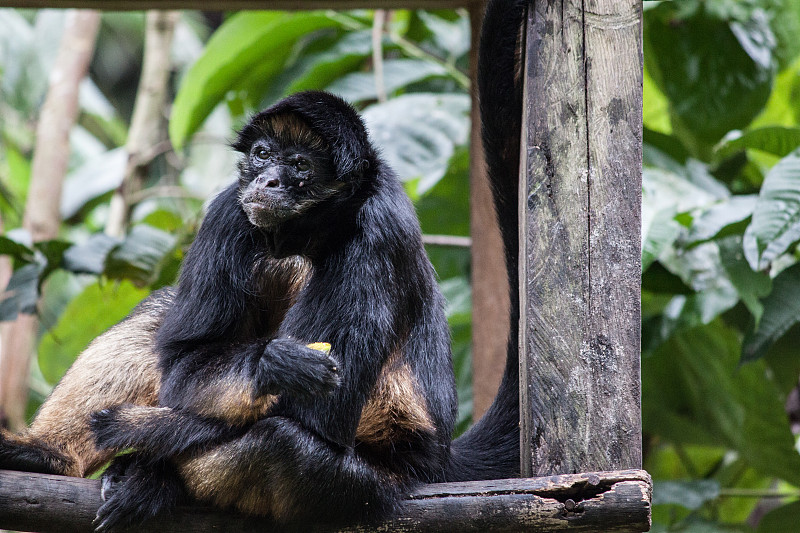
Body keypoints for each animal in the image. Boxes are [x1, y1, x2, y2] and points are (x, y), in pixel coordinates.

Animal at [0, 1, 528, 528]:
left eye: (299, 165)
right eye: (262, 154)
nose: (269, 180)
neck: (313, 233)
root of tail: (437, 460)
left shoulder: (380, 231)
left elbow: (315, 417)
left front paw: (145, 448)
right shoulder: (230, 208)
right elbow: (187, 362)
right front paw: (273, 365)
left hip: (377, 482)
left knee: (282, 443)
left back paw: (156, 477)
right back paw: (50, 453)